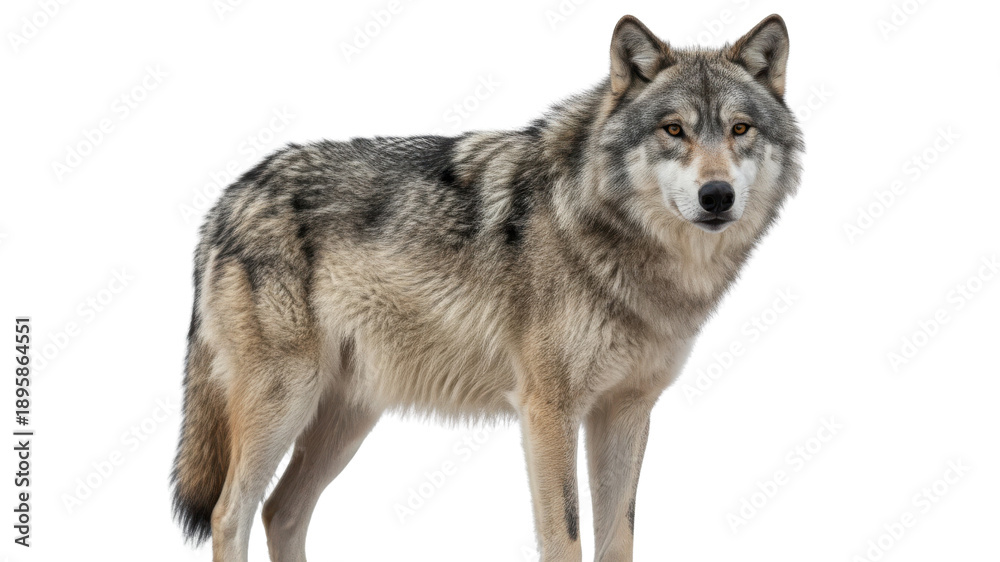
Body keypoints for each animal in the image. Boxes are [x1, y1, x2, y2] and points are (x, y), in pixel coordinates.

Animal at [171, 13, 802, 562]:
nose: (717, 196)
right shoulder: (548, 410)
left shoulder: (626, 410)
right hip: (286, 401)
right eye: (675, 130)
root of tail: (227, 199)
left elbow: (618, 540)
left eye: (740, 129)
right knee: (231, 513)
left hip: (345, 419)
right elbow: (566, 538)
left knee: (280, 512)